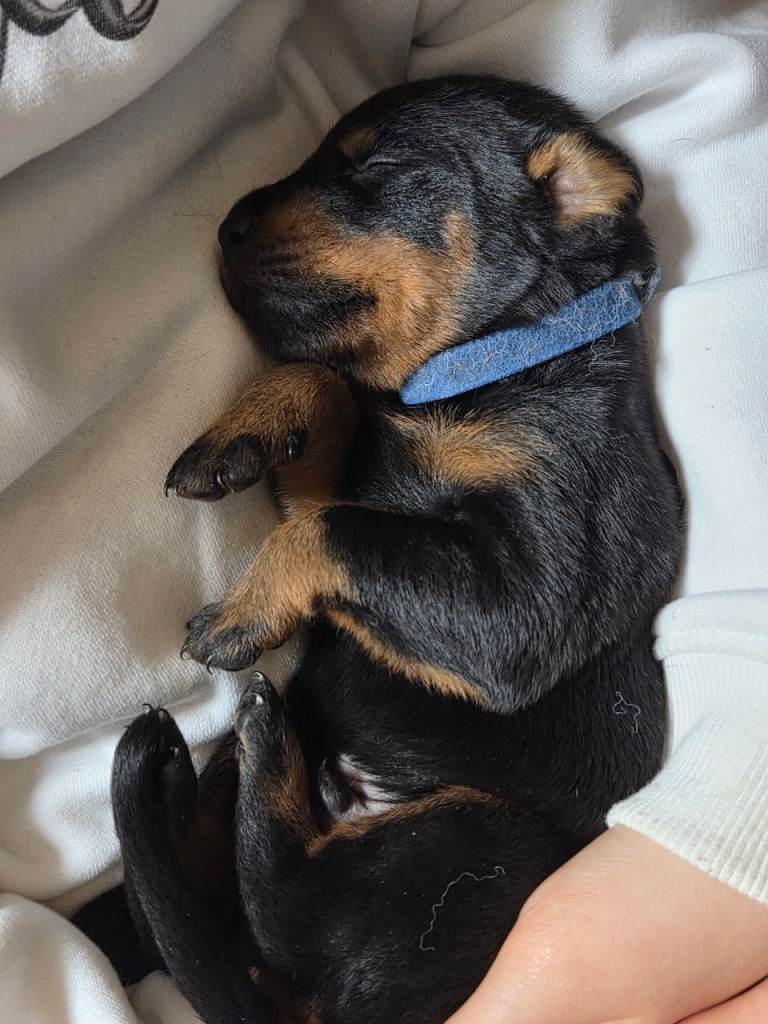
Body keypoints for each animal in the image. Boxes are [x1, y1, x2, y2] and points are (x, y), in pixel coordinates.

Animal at [75, 76, 682, 1024]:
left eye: (375, 164)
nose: (228, 223)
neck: (481, 371)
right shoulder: (357, 487)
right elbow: (327, 394)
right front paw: (247, 430)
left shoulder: (533, 589)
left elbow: (335, 529)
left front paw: (242, 612)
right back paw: (196, 781)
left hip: (481, 842)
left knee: (285, 907)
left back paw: (261, 738)